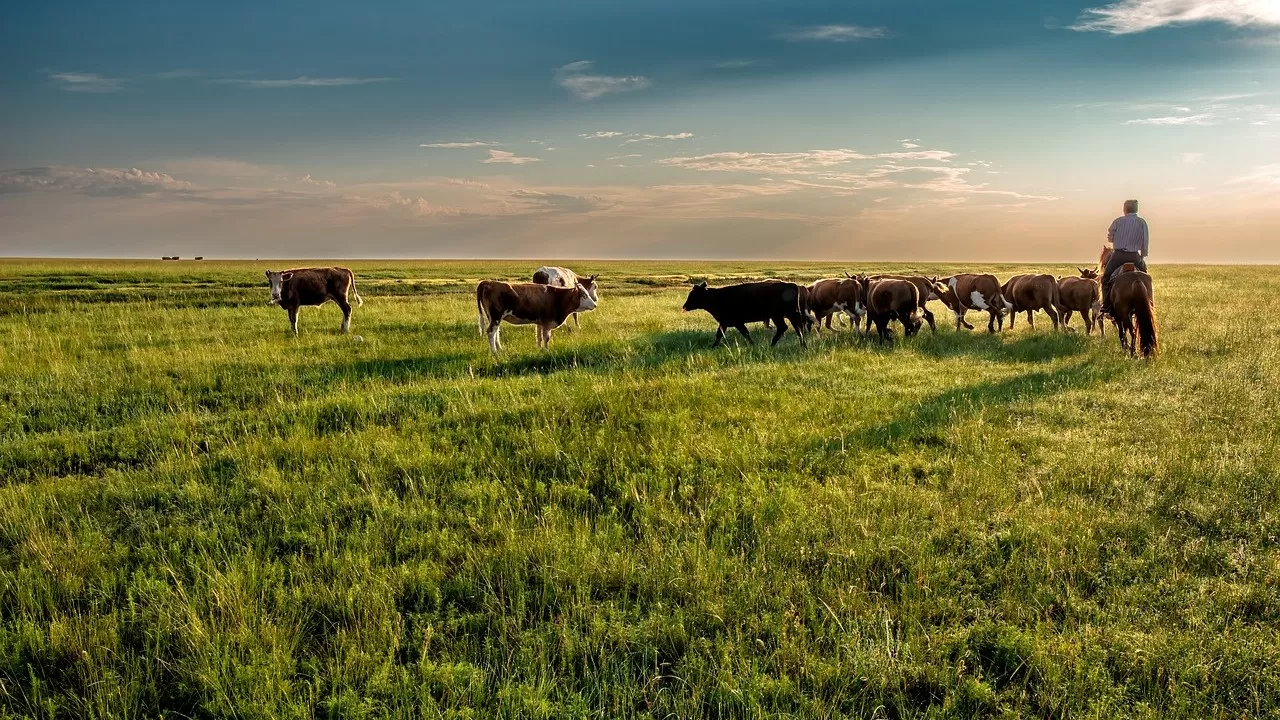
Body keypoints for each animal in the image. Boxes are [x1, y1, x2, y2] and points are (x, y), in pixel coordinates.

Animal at [680, 280, 808, 348]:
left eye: (693, 295)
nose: (684, 306)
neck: (717, 297)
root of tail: (791, 285)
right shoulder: (725, 322)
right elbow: (720, 334)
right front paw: (713, 346)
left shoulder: (736, 322)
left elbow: (744, 333)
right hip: (788, 315)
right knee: (796, 328)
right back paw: (802, 345)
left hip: (779, 315)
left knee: (785, 327)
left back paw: (772, 344)